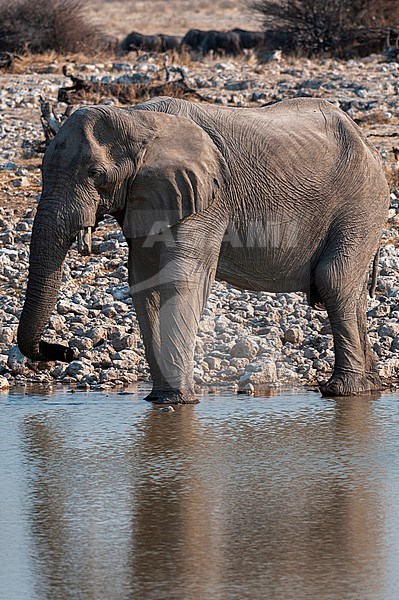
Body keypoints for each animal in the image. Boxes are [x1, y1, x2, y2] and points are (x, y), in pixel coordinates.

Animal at [18, 96, 390, 404]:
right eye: (42, 170)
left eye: (96, 174)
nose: (64, 351)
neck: (137, 118)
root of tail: (369, 143)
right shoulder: (148, 197)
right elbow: (144, 284)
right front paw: (161, 400)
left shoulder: (206, 198)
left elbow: (179, 279)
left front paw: (177, 402)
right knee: (350, 291)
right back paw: (369, 387)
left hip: (362, 203)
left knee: (333, 280)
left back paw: (342, 392)